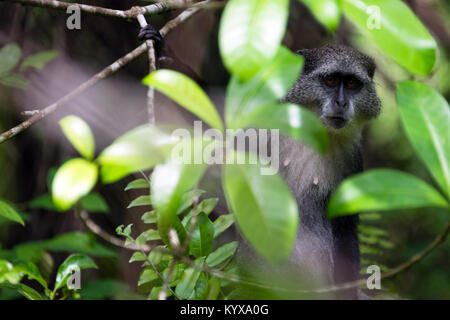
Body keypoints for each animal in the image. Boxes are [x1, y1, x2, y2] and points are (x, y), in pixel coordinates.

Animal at [139, 25, 382, 300]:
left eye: (351, 83)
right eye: (331, 81)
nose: (341, 102)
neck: (319, 134)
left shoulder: (352, 159)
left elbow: (345, 225)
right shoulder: (264, 123)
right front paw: (165, 52)